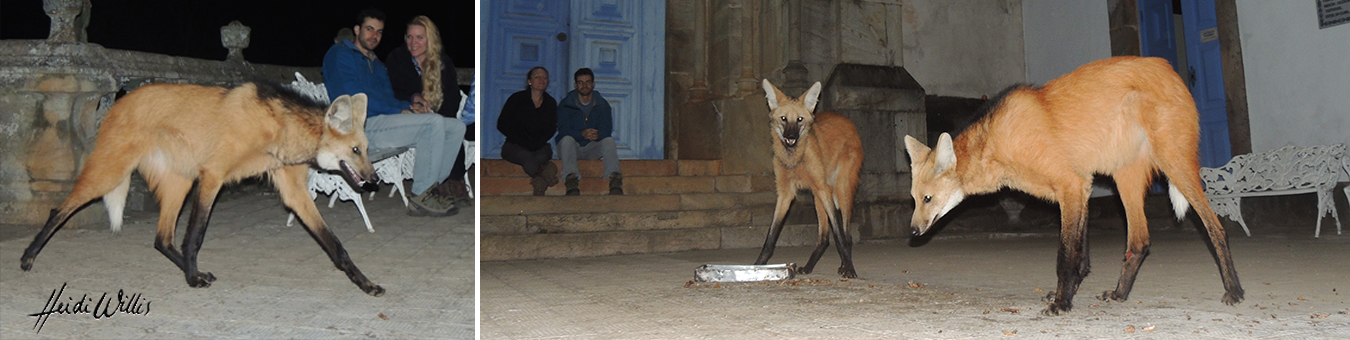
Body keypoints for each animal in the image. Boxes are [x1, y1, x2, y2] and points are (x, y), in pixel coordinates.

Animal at [22, 80, 391, 296]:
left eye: (365, 150)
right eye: (355, 151)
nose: (374, 180)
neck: (280, 128)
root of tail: (119, 101)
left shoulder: (293, 192)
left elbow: (335, 246)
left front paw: (366, 283)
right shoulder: (213, 175)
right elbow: (195, 236)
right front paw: (192, 278)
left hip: (180, 181)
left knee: (162, 238)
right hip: (112, 173)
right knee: (59, 209)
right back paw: (28, 257)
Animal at [750, 80, 864, 277]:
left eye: (800, 119)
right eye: (784, 118)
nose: (791, 137)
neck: (795, 160)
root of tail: (848, 121)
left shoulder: (823, 188)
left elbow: (840, 236)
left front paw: (849, 268)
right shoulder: (785, 193)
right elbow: (771, 236)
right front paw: (758, 265)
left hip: (839, 188)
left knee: (846, 234)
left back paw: (844, 265)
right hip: (817, 195)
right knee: (824, 237)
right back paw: (809, 266)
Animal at [907, 56, 1242, 315]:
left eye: (927, 199)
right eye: (914, 199)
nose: (912, 232)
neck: (996, 144)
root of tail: (1170, 69)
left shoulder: (1071, 185)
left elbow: (1066, 254)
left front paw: (1061, 303)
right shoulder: (1079, 187)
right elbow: (1081, 256)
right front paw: (1068, 293)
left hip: (1174, 164)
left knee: (1215, 227)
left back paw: (1234, 291)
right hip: (1124, 177)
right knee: (1139, 241)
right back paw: (1119, 294)